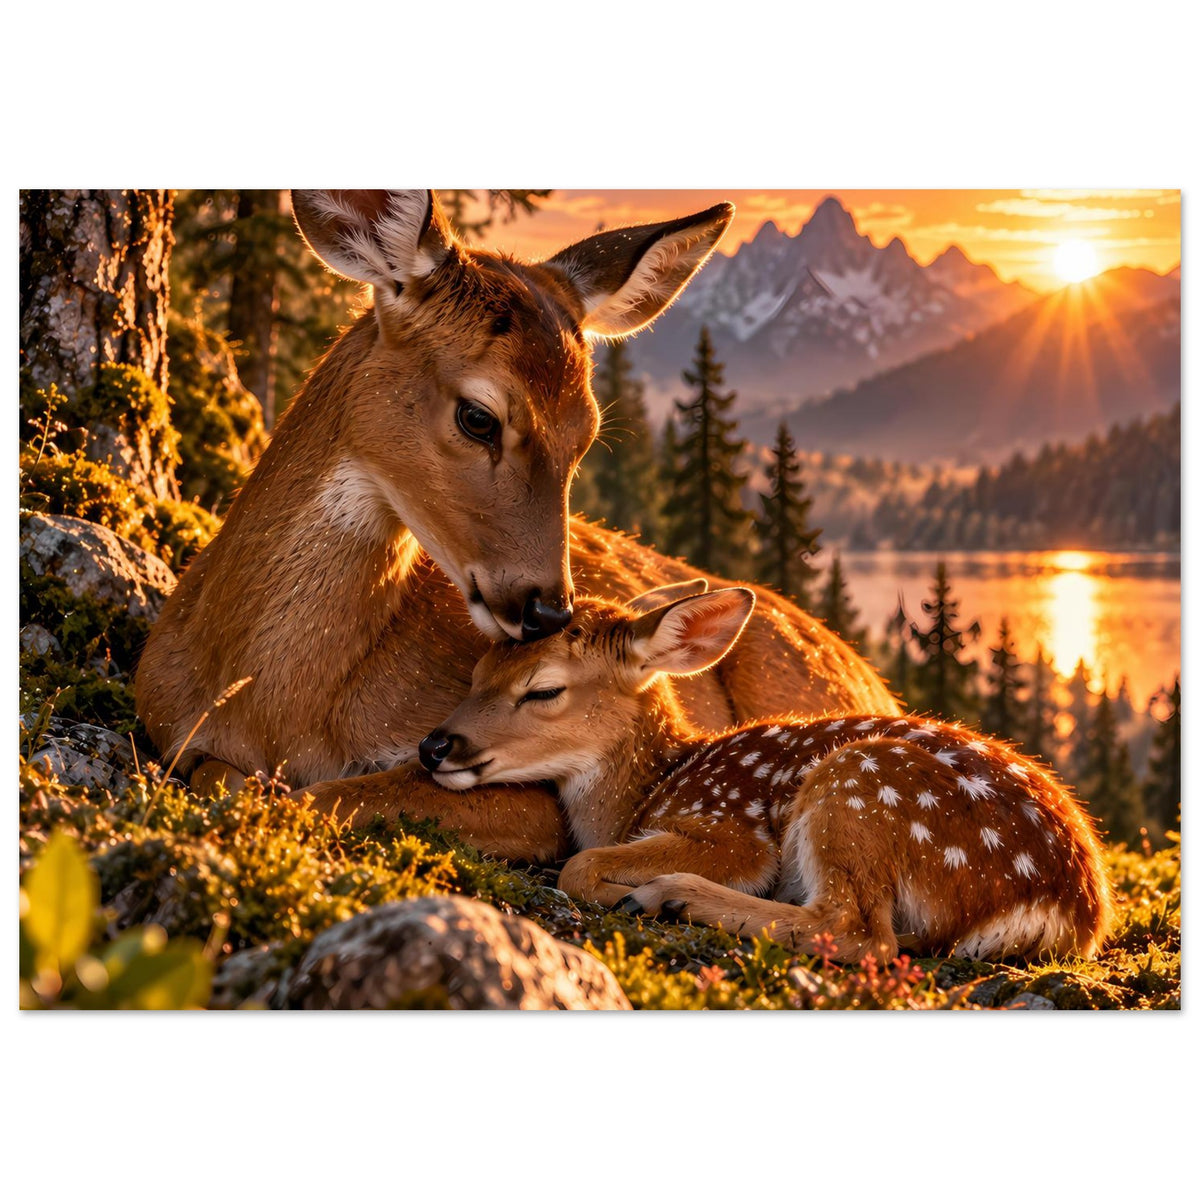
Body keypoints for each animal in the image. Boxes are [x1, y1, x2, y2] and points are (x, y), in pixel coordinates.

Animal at [136, 190, 899, 864]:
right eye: (479, 416)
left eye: (586, 435)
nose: (548, 609)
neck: (270, 704)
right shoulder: (165, 722)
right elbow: (227, 778)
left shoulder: (529, 794)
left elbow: (328, 794)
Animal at [420, 583, 1115, 962]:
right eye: (478, 670)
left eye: (543, 690)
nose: (434, 745)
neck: (648, 789)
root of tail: (1069, 910)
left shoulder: (731, 829)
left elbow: (580, 864)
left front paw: (627, 888)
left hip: (859, 786)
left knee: (858, 930)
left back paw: (672, 896)